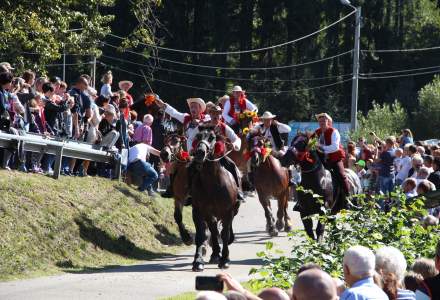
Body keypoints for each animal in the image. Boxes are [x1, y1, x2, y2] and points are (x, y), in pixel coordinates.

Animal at [192, 127, 239, 270]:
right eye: (198, 136)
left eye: (212, 137)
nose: (200, 153)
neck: (212, 184)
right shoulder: (199, 211)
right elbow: (201, 235)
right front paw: (198, 261)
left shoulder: (228, 212)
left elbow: (225, 234)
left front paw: (225, 260)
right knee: (213, 230)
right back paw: (215, 255)